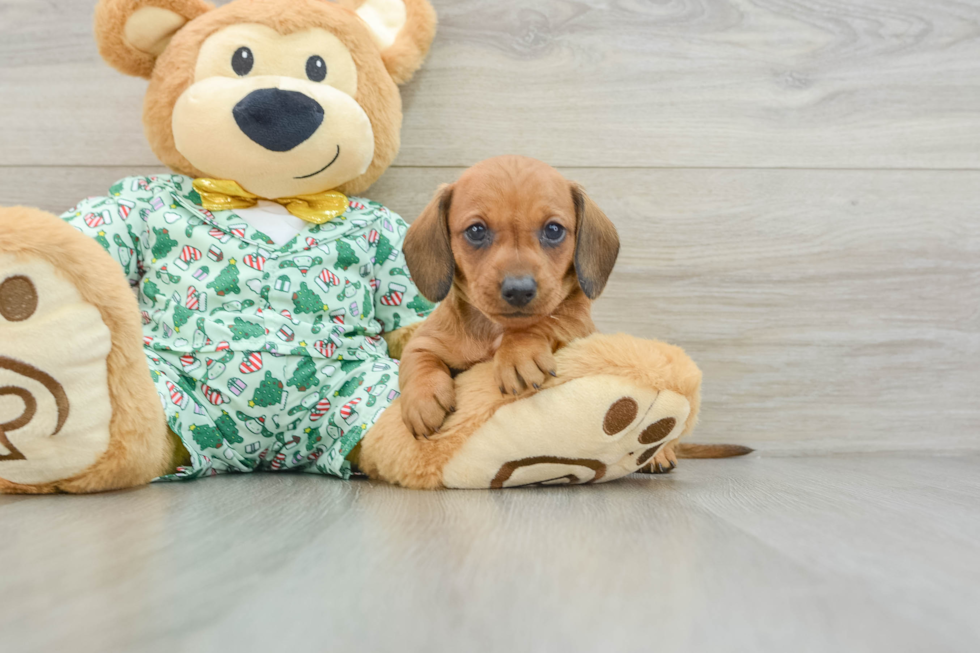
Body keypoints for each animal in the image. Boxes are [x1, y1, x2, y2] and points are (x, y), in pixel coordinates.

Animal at [400, 155, 620, 438]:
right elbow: (418, 358)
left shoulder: (578, 329)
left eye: (553, 230)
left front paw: (518, 352)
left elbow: (543, 321)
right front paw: (423, 397)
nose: (518, 290)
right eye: (476, 230)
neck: (493, 330)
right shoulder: (423, 340)